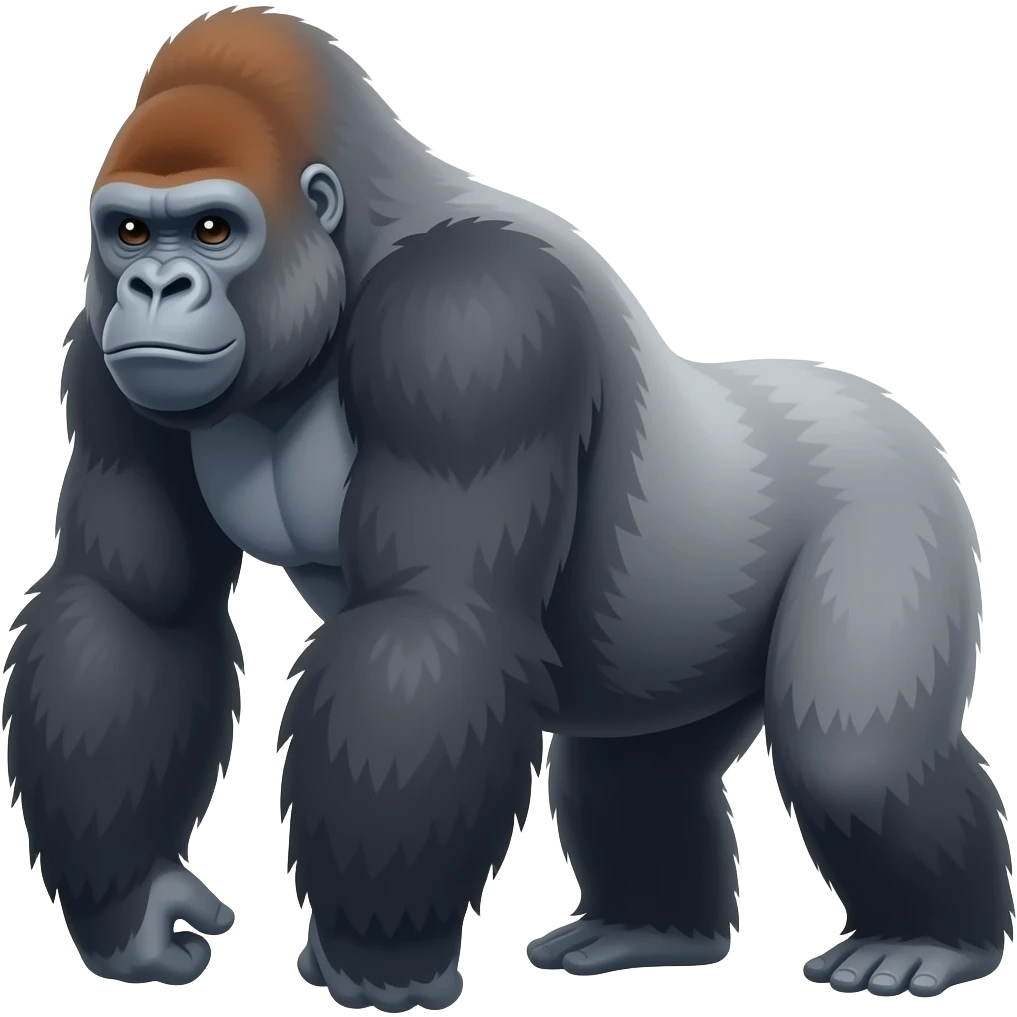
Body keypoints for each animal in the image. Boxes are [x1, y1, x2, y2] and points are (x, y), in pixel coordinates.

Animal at [2, 6, 1011, 1011]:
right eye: (130, 233)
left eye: (214, 230)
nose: (154, 288)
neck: (353, 248)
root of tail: (875, 399)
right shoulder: (100, 357)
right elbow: (135, 608)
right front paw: (131, 905)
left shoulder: (468, 321)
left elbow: (430, 622)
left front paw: (377, 956)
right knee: (634, 769)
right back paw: (651, 925)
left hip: (895, 491)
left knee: (856, 754)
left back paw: (930, 939)